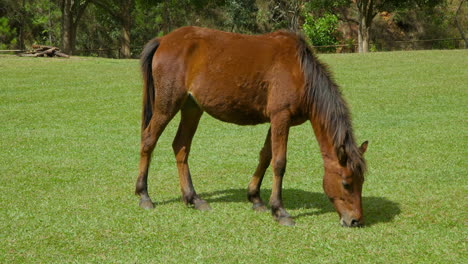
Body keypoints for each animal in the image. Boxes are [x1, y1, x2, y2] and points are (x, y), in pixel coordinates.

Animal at [135, 26, 370, 228]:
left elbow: (265, 156)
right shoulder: (281, 117)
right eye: (346, 183)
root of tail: (163, 40)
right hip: (167, 105)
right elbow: (279, 163)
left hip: (192, 107)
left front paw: (255, 198)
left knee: (181, 146)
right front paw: (280, 211)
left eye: (362, 181)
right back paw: (144, 195)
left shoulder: (276, 120)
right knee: (149, 140)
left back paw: (193, 198)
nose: (355, 221)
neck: (300, 71)